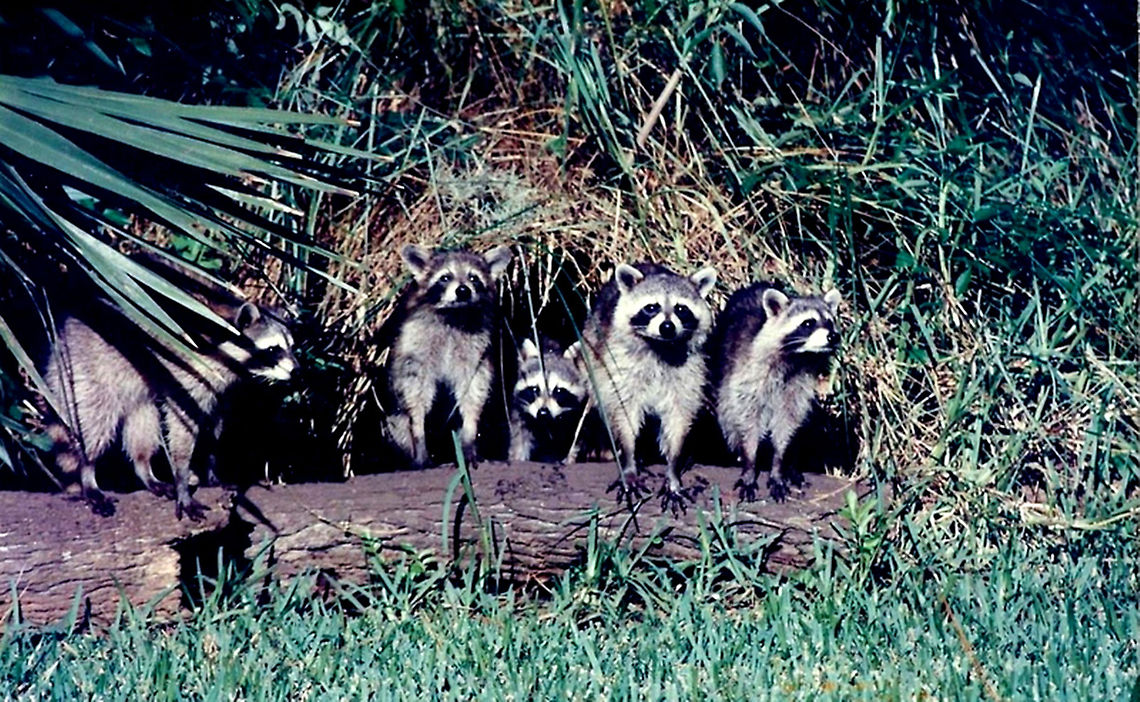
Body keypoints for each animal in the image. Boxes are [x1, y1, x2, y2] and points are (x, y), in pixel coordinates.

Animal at [44, 301, 296, 520]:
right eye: (272, 349)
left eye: (291, 347)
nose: (297, 370)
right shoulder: (187, 374)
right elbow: (182, 429)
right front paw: (182, 480)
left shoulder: (218, 391)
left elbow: (213, 429)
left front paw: (211, 470)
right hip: (88, 369)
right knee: (95, 423)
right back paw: (88, 473)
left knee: (142, 424)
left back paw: (144, 469)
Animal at [385, 244, 512, 467]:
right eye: (445, 277)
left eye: (473, 278)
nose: (463, 290)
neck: (455, 314)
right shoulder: (414, 345)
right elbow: (415, 393)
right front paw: (418, 434)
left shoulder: (476, 350)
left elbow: (474, 389)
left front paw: (470, 435)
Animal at [579, 262, 717, 504]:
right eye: (651, 307)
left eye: (681, 309)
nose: (667, 327)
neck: (661, 345)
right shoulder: (619, 365)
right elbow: (624, 413)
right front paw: (629, 461)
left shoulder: (689, 371)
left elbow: (679, 418)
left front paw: (673, 470)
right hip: (593, 352)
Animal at [710, 283, 841, 501]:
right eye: (808, 323)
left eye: (831, 322)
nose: (833, 336)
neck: (798, 356)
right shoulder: (747, 376)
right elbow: (747, 423)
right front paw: (749, 466)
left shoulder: (798, 385)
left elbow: (787, 424)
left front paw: (779, 466)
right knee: (728, 417)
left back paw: (792, 466)